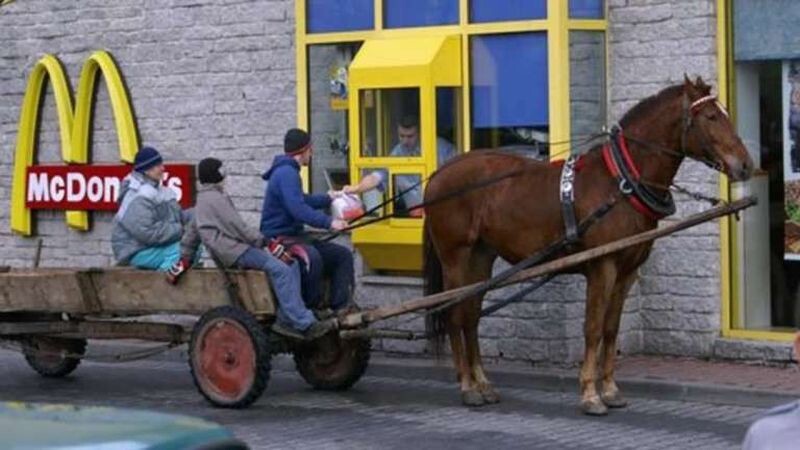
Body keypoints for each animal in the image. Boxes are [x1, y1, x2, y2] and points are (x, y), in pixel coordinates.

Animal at [424, 76, 756, 414]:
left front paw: (609, 389)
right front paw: (590, 394)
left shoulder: (626, 271)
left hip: (481, 257)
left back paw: (483, 383)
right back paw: (467, 386)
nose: (745, 165)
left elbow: (610, 329)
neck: (620, 184)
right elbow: (593, 328)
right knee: (454, 315)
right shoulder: (602, 266)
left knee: (470, 316)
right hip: (455, 257)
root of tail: (439, 173)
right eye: (712, 117)